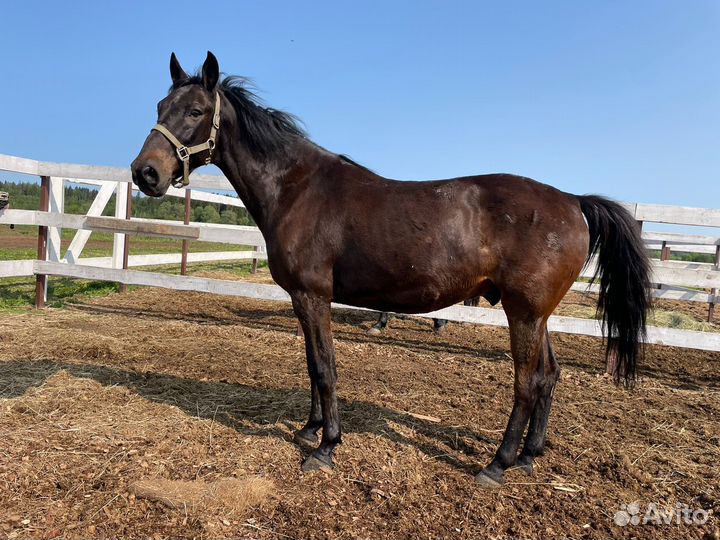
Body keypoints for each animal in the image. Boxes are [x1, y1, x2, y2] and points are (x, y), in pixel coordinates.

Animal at [131, 52, 651, 487]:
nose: (145, 173)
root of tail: (573, 201)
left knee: (527, 382)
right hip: (537, 315)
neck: (297, 188)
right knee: (549, 375)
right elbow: (311, 364)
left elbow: (325, 367)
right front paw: (309, 429)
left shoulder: (313, 295)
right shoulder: (302, 299)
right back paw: (528, 456)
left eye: (196, 111)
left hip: (523, 313)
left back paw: (498, 464)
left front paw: (326, 447)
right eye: (160, 105)